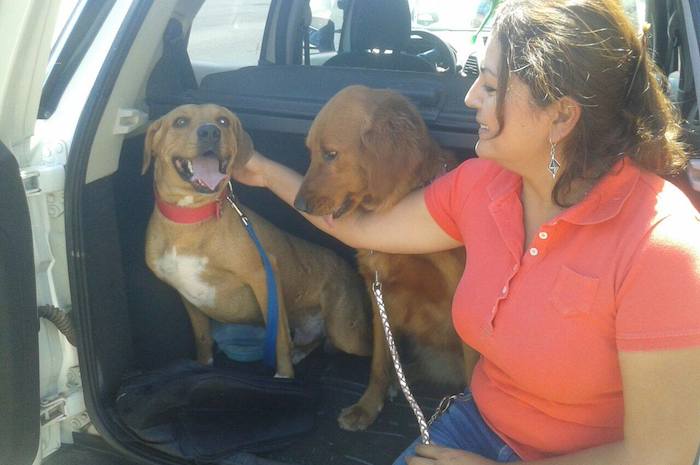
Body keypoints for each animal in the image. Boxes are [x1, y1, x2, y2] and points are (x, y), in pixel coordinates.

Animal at [142, 103, 372, 376]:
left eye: (223, 120)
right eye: (180, 122)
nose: (210, 132)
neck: (191, 219)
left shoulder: (263, 276)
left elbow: (280, 340)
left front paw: (284, 376)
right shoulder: (187, 296)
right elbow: (203, 338)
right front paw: (202, 365)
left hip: (345, 332)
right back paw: (300, 352)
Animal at [292, 85, 478, 430]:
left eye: (331, 154)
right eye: (310, 152)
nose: (299, 206)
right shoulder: (379, 294)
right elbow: (379, 362)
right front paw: (367, 406)